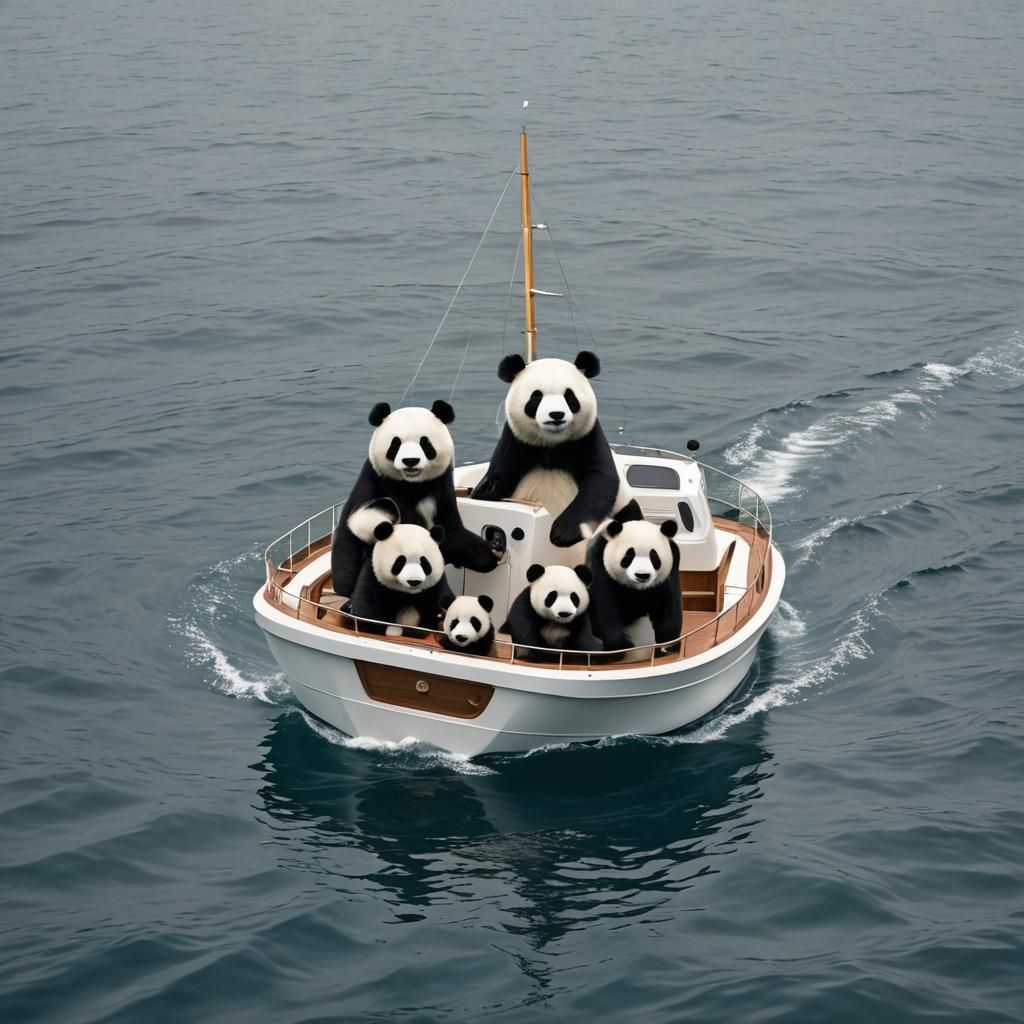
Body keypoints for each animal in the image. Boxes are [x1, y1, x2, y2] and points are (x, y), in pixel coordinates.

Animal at [331, 399, 500, 600]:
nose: (410, 460)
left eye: (425, 443)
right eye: (395, 444)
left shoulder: (442, 488)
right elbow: (351, 536)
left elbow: (450, 532)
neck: (413, 485)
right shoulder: (373, 482)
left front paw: (491, 550)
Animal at [470, 351, 642, 549]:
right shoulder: (515, 441)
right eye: (536, 397)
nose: (556, 415)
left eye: (570, 397)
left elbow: (600, 481)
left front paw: (562, 533)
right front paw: (484, 490)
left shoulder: (588, 438)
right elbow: (500, 473)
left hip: (623, 510)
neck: (552, 445)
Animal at [586, 518, 682, 659]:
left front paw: (666, 646)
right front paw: (621, 646)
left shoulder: (670, 569)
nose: (642, 575)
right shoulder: (598, 563)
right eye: (628, 556)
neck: (637, 589)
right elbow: (603, 606)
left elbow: (670, 604)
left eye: (654, 557)